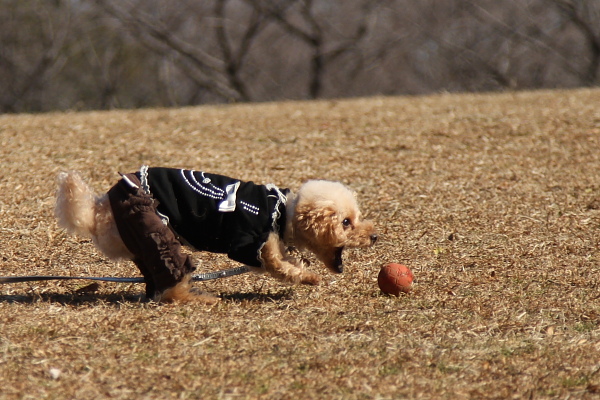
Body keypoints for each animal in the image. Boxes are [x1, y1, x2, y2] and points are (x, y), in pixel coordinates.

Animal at [55, 166, 376, 304]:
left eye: (356, 218)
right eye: (346, 222)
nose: (374, 237)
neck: (283, 213)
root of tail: (100, 209)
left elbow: (286, 259)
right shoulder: (250, 244)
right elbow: (279, 265)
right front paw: (309, 278)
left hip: (143, 241)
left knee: (156, 281)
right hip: (155, 230)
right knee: (172, 285)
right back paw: (199, 297)